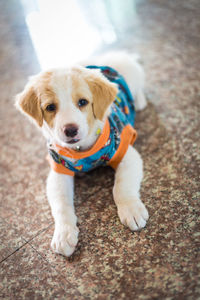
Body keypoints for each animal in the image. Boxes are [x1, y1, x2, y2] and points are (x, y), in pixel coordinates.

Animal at [15, 51, 148, 255]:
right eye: (50, 107)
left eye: (83, 102)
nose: (70, 130)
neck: (82, 150)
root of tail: (101, 62)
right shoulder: (58, 170)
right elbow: (61, 205)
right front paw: (63, 233)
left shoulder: (127, 152)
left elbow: (121, 186)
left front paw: (131, 209)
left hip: (131, 73)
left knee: (138, 85)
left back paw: (139, 101)